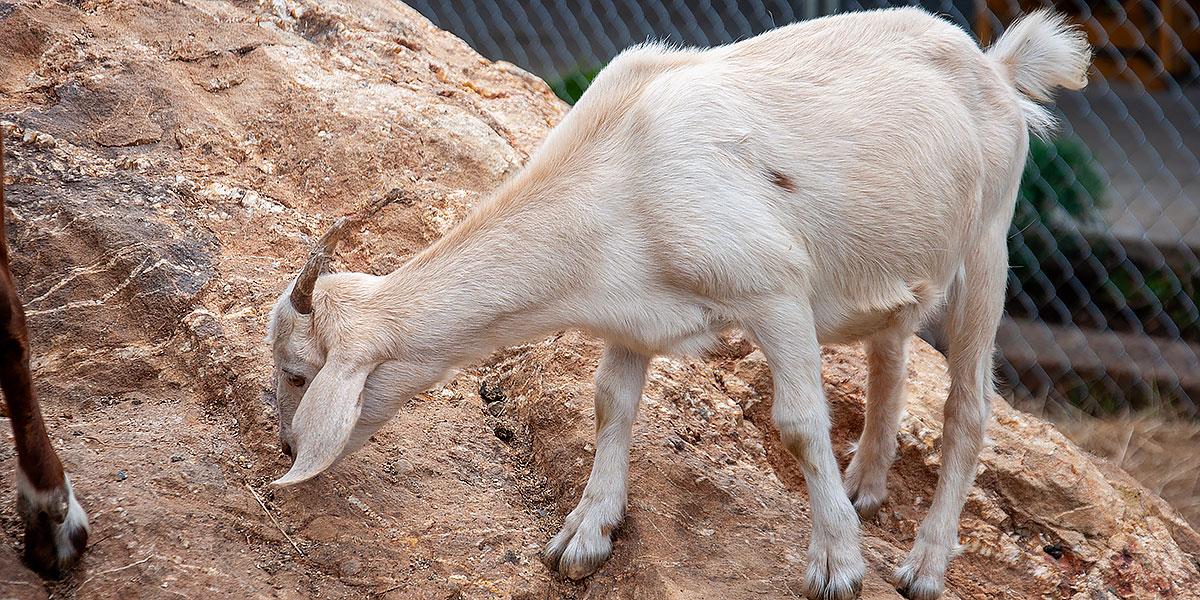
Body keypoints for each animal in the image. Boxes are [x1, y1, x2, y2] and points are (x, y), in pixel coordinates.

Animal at [265, 8, 1089, 599]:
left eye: (301, 374)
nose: (284, 448)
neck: (621, 165)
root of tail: (996, 65)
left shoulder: (773, 288)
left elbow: (799, 423)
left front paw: (835, 567)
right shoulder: (630, 314)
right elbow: (611, 403)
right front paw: (584, 537)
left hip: (988, 240)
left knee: (968, 406)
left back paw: (923, 565)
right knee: (891, 350)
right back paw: (866, 487)